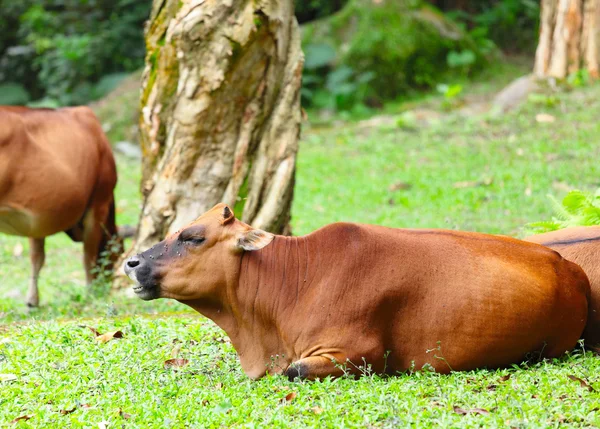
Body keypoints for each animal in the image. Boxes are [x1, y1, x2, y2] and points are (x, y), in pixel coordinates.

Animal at [0, 107, 122, 308]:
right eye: (118, 254)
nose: (105, 288)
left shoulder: (36, 220)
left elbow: (37, 257)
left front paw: (32, 301)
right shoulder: (98, 206)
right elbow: (88, 256)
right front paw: (91, 293)